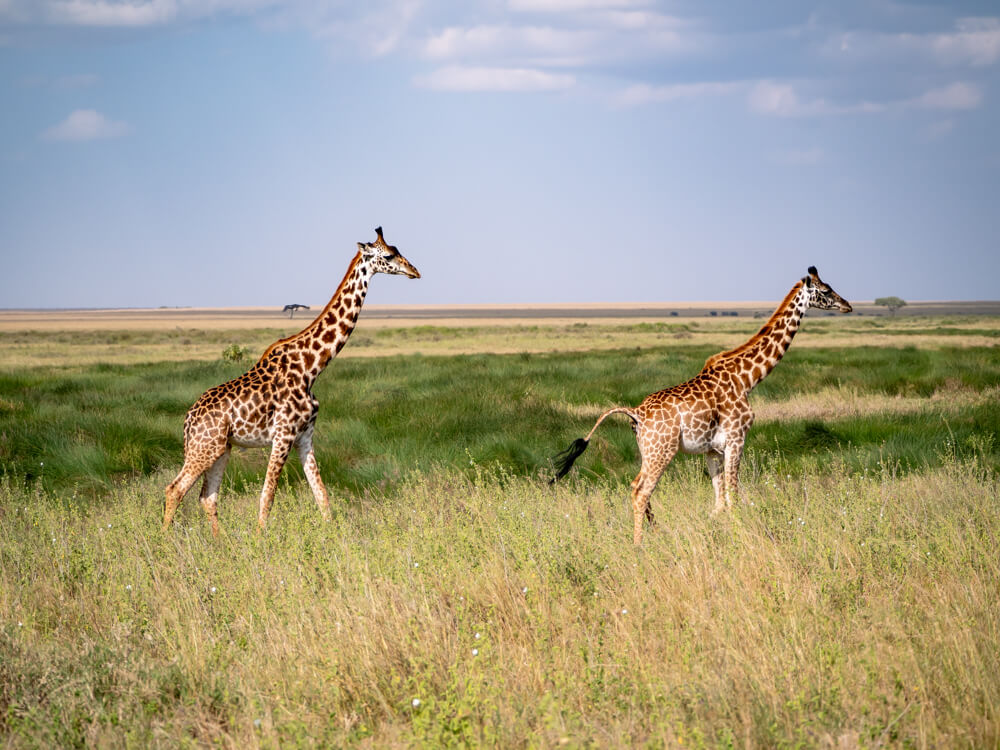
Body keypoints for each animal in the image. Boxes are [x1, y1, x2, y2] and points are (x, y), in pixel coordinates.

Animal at [163, 227, 420, 536]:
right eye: (389, 255)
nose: (415, 271)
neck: (312, 367)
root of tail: (189, 418)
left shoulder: (305, 437)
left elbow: (322, 496)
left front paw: (335, 536)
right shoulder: (283, 434)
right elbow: (267, 495)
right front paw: (261, 540)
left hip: (222, 448)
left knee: (207, 497)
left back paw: (219, 541)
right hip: (205, 447)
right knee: (175, 489)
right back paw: (164, 541)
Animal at [551, 266, 852, 544]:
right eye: (826, 291)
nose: (847, 305)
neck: (746, 379)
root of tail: (635, 413)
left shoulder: (713, 450)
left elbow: (719, 503)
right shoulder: (736, 439)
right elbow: (733, 497)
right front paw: (741, 538)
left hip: (647, 451)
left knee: (636, 486)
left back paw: (656, 532)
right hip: (662, 451)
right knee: (641, 492)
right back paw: (639, 545)